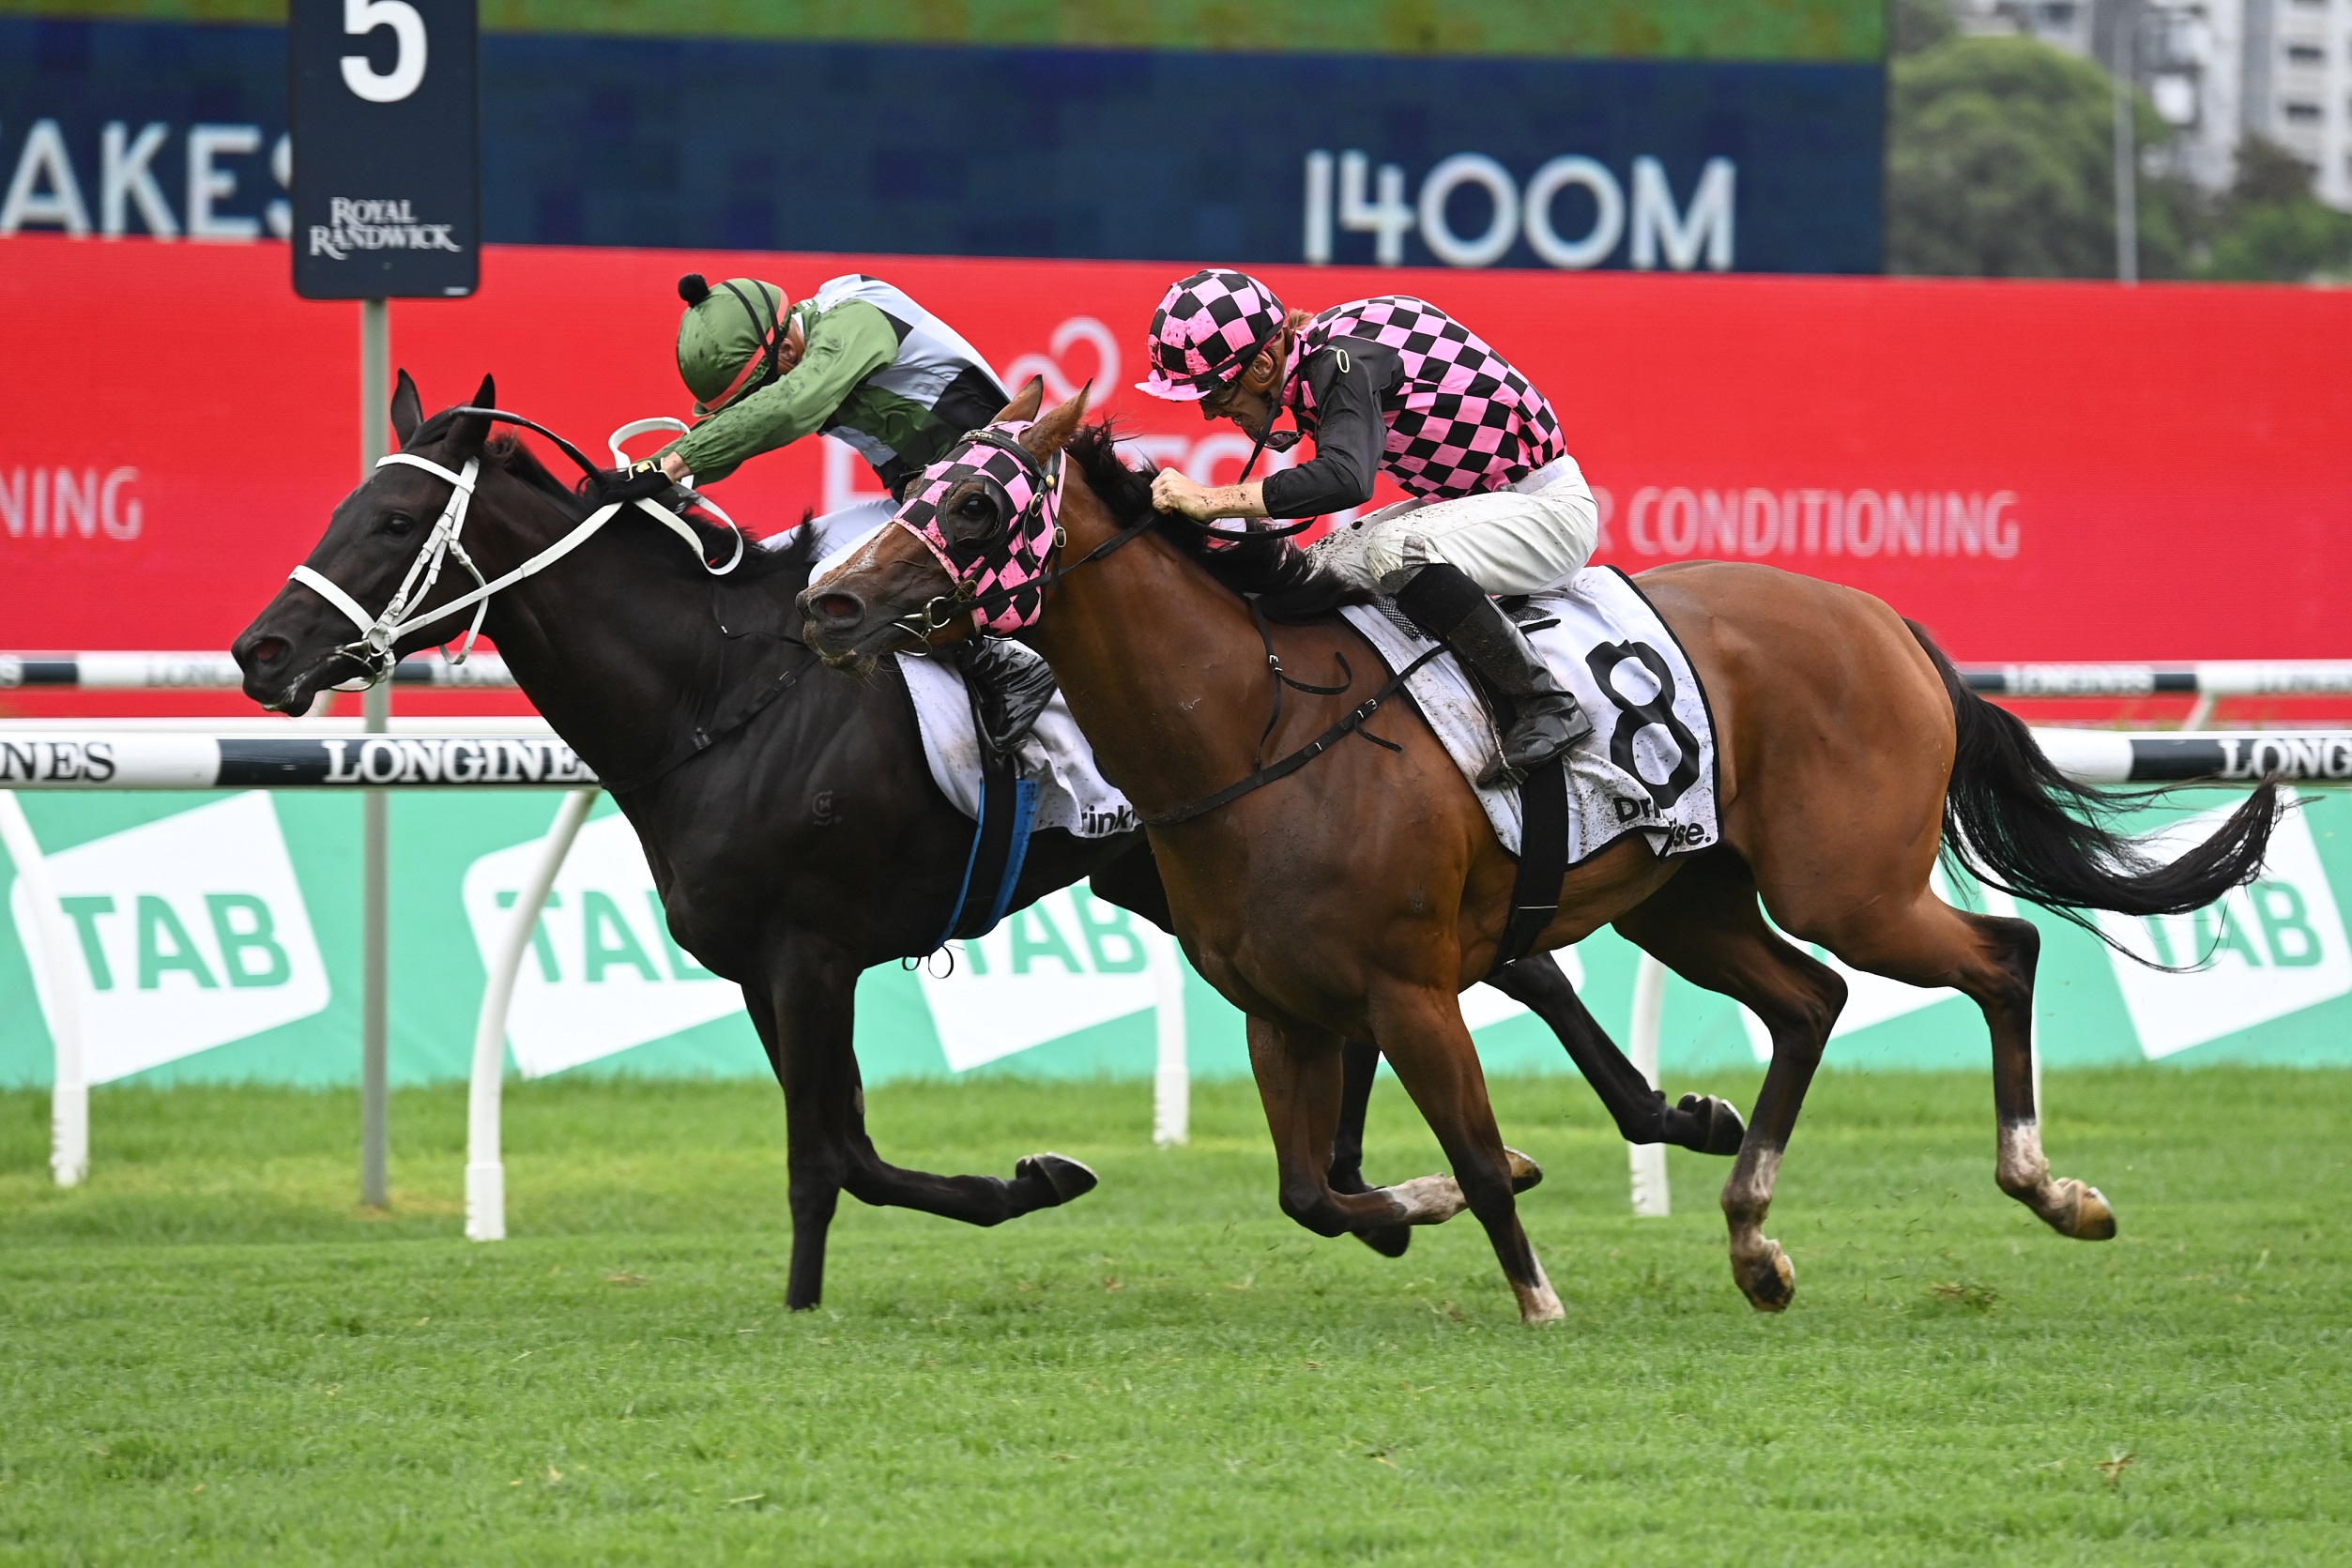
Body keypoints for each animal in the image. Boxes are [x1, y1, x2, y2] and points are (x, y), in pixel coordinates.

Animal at [230, 374, 1744, 1310]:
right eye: (341, 506)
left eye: (387, 519)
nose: (261, 652)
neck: (720, 695)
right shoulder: (765, 967)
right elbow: (828, 1147)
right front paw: (822, 1288)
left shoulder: (810, 951)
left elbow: (835, 1155)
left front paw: (1021, 1182)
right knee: (1477, 972)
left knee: (1504, 969)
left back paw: (1643, 1123)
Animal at [796, 388, 2282, 1322]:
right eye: (912, 485)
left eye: (976, 506)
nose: (829, 603)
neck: (1253, 724)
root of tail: (1885, 622)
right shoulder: (1283, 1007)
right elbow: (1309, 1190)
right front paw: (1421, 1203)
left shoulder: (1406, 990)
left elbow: (1463, 1139)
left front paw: (1531, 1284)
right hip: (1687, 901)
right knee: (1811, 1001)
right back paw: (1752, 1235)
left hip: (1846, 882)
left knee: (1999, 954)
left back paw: (2049, 1188)